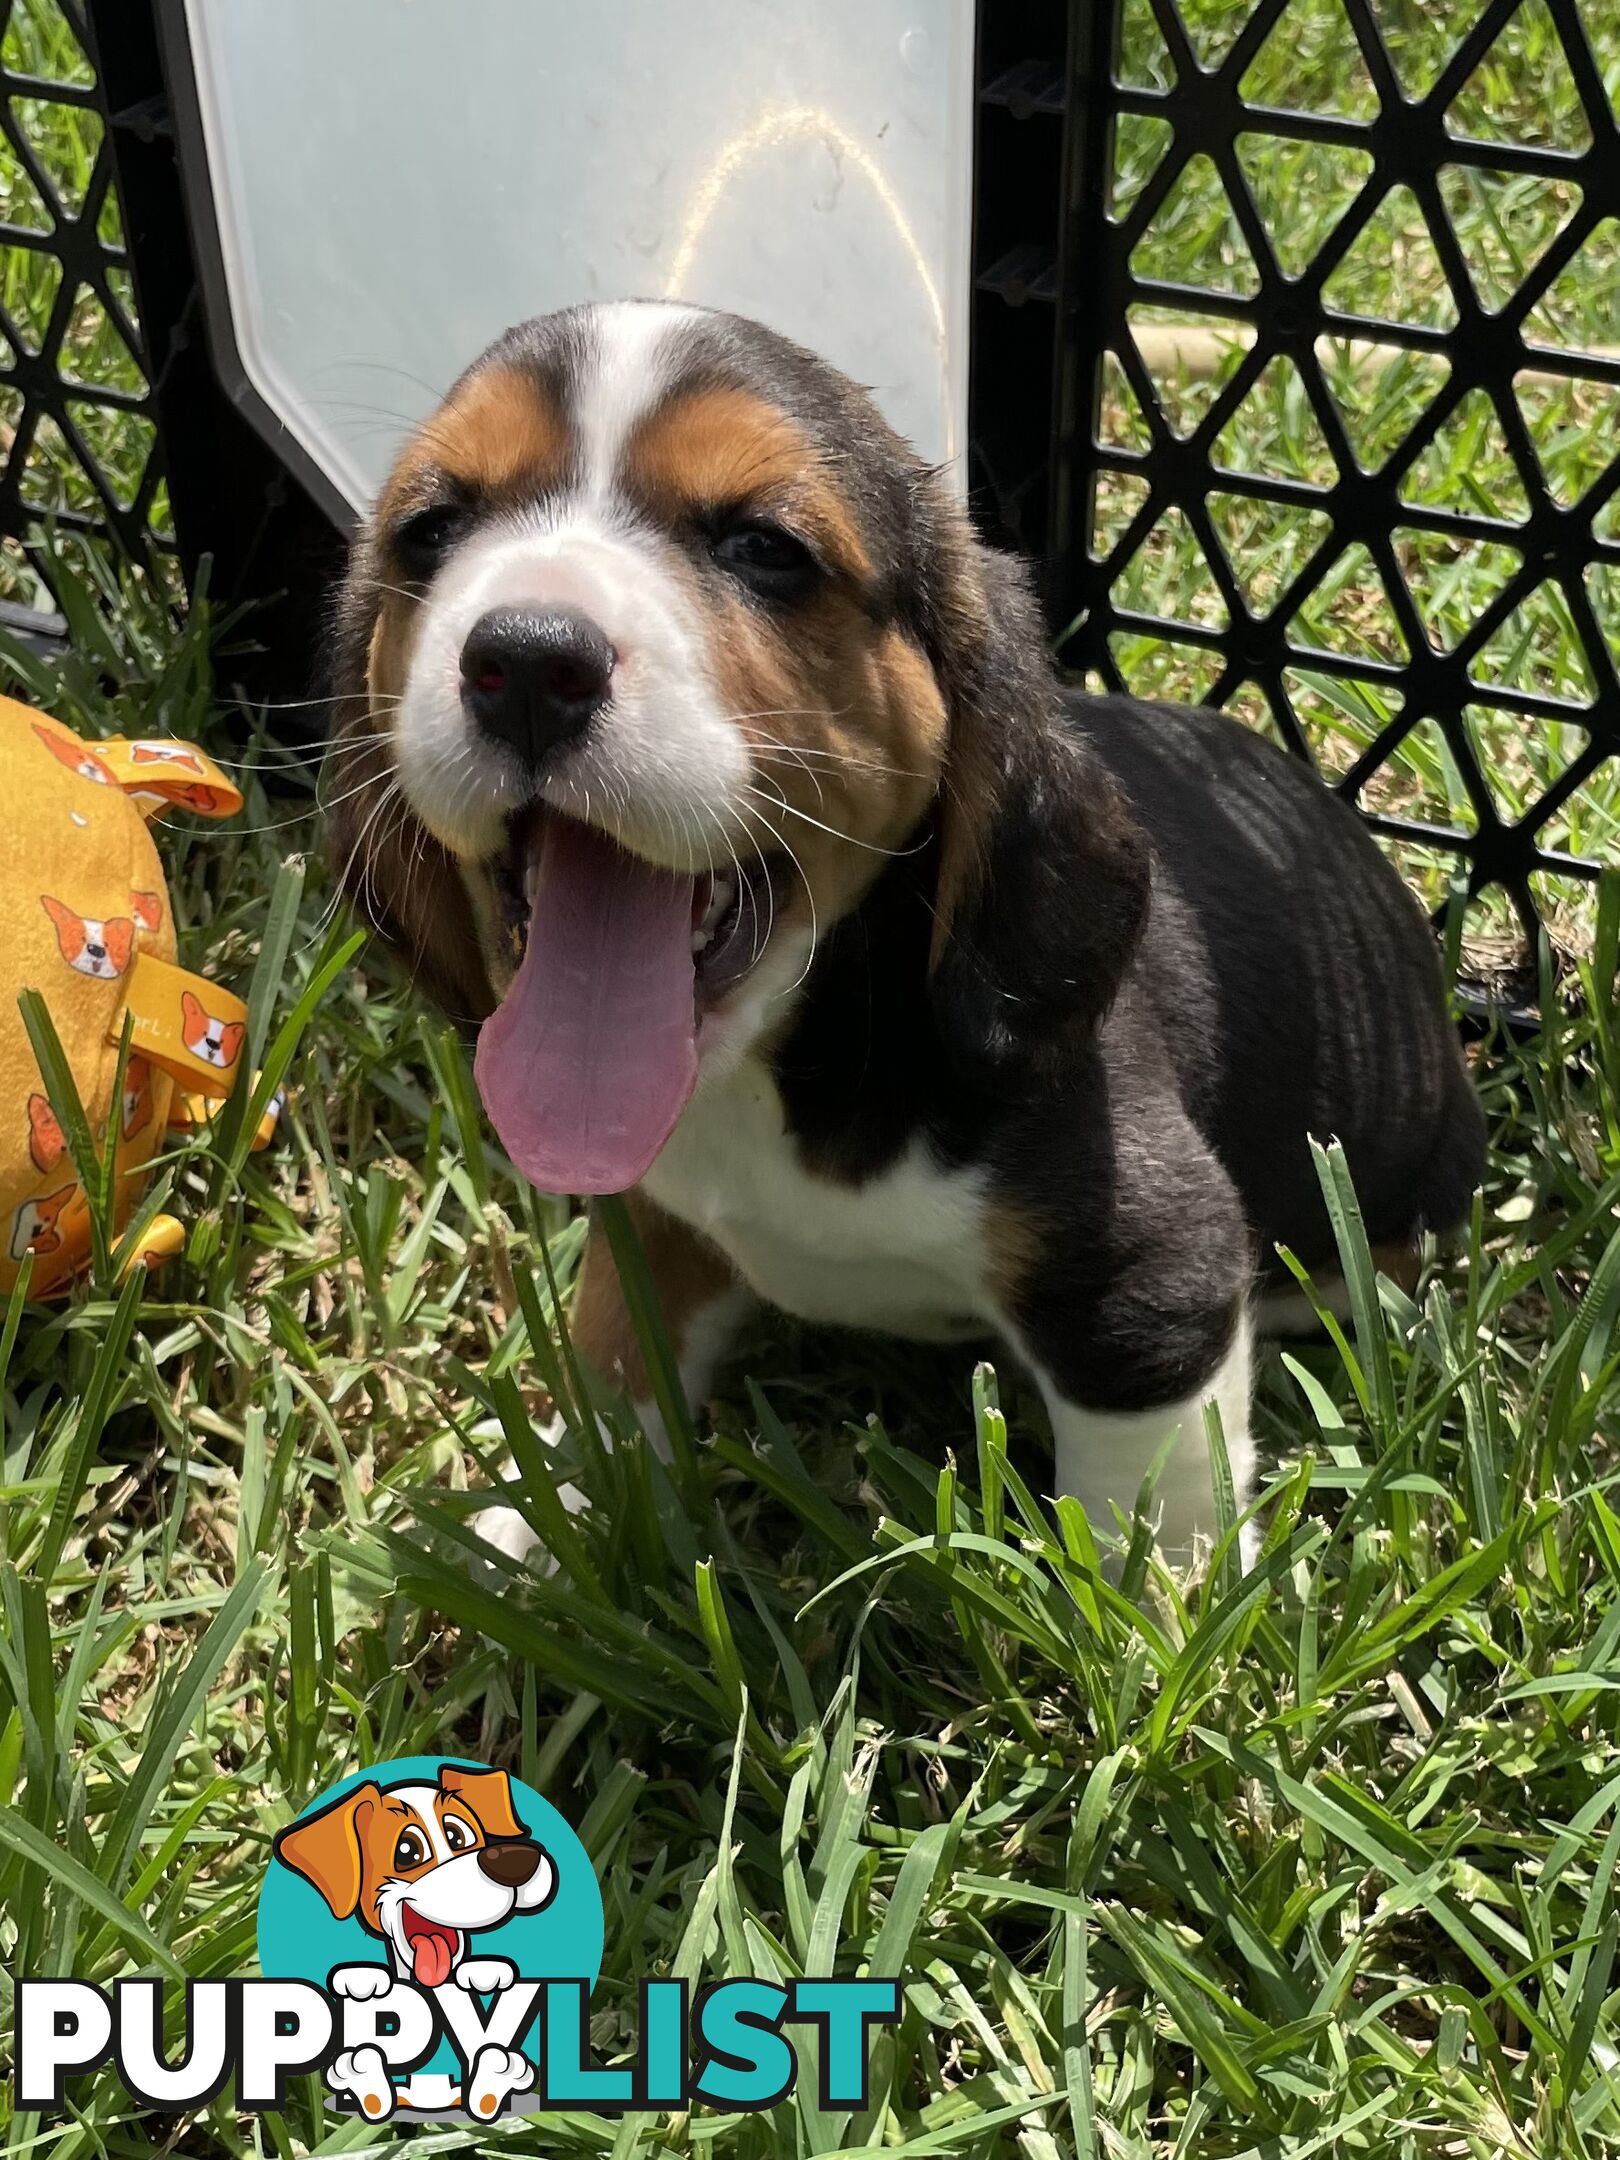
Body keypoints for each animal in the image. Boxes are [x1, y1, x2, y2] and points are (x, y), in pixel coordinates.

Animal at [326, 295, 1486, 1563]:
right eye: (431, 531)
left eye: (766, 548)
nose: (528, 658)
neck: (780, 1052)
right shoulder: (648, 1220)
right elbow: (617, 1359)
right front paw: (556, 1518)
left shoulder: (1150, 1273)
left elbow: (1147, 1507)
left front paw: (1160, 1606)